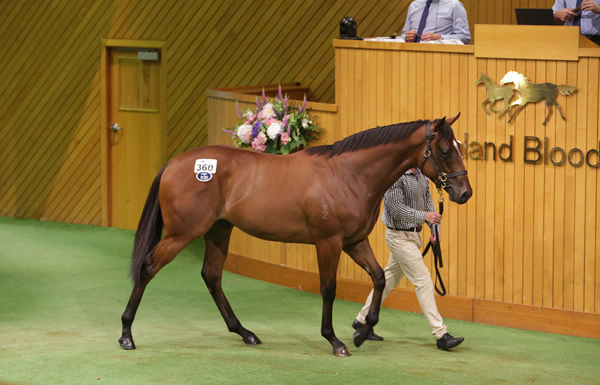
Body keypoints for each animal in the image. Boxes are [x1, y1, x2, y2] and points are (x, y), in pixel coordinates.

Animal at [118, 112, 474, 356]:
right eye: (445, 149)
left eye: (458, 146)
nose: (464, 192)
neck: (348, 174)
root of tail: (173, 164)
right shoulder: (328, 242)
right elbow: (329, 288)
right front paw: (335, 340)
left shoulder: (354, 241)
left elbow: (378, 279)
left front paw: (362, 332)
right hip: (181, 234)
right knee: (148, 268)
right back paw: (126, 334)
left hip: (219, 231)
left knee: (212, 276)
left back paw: (245, 332)